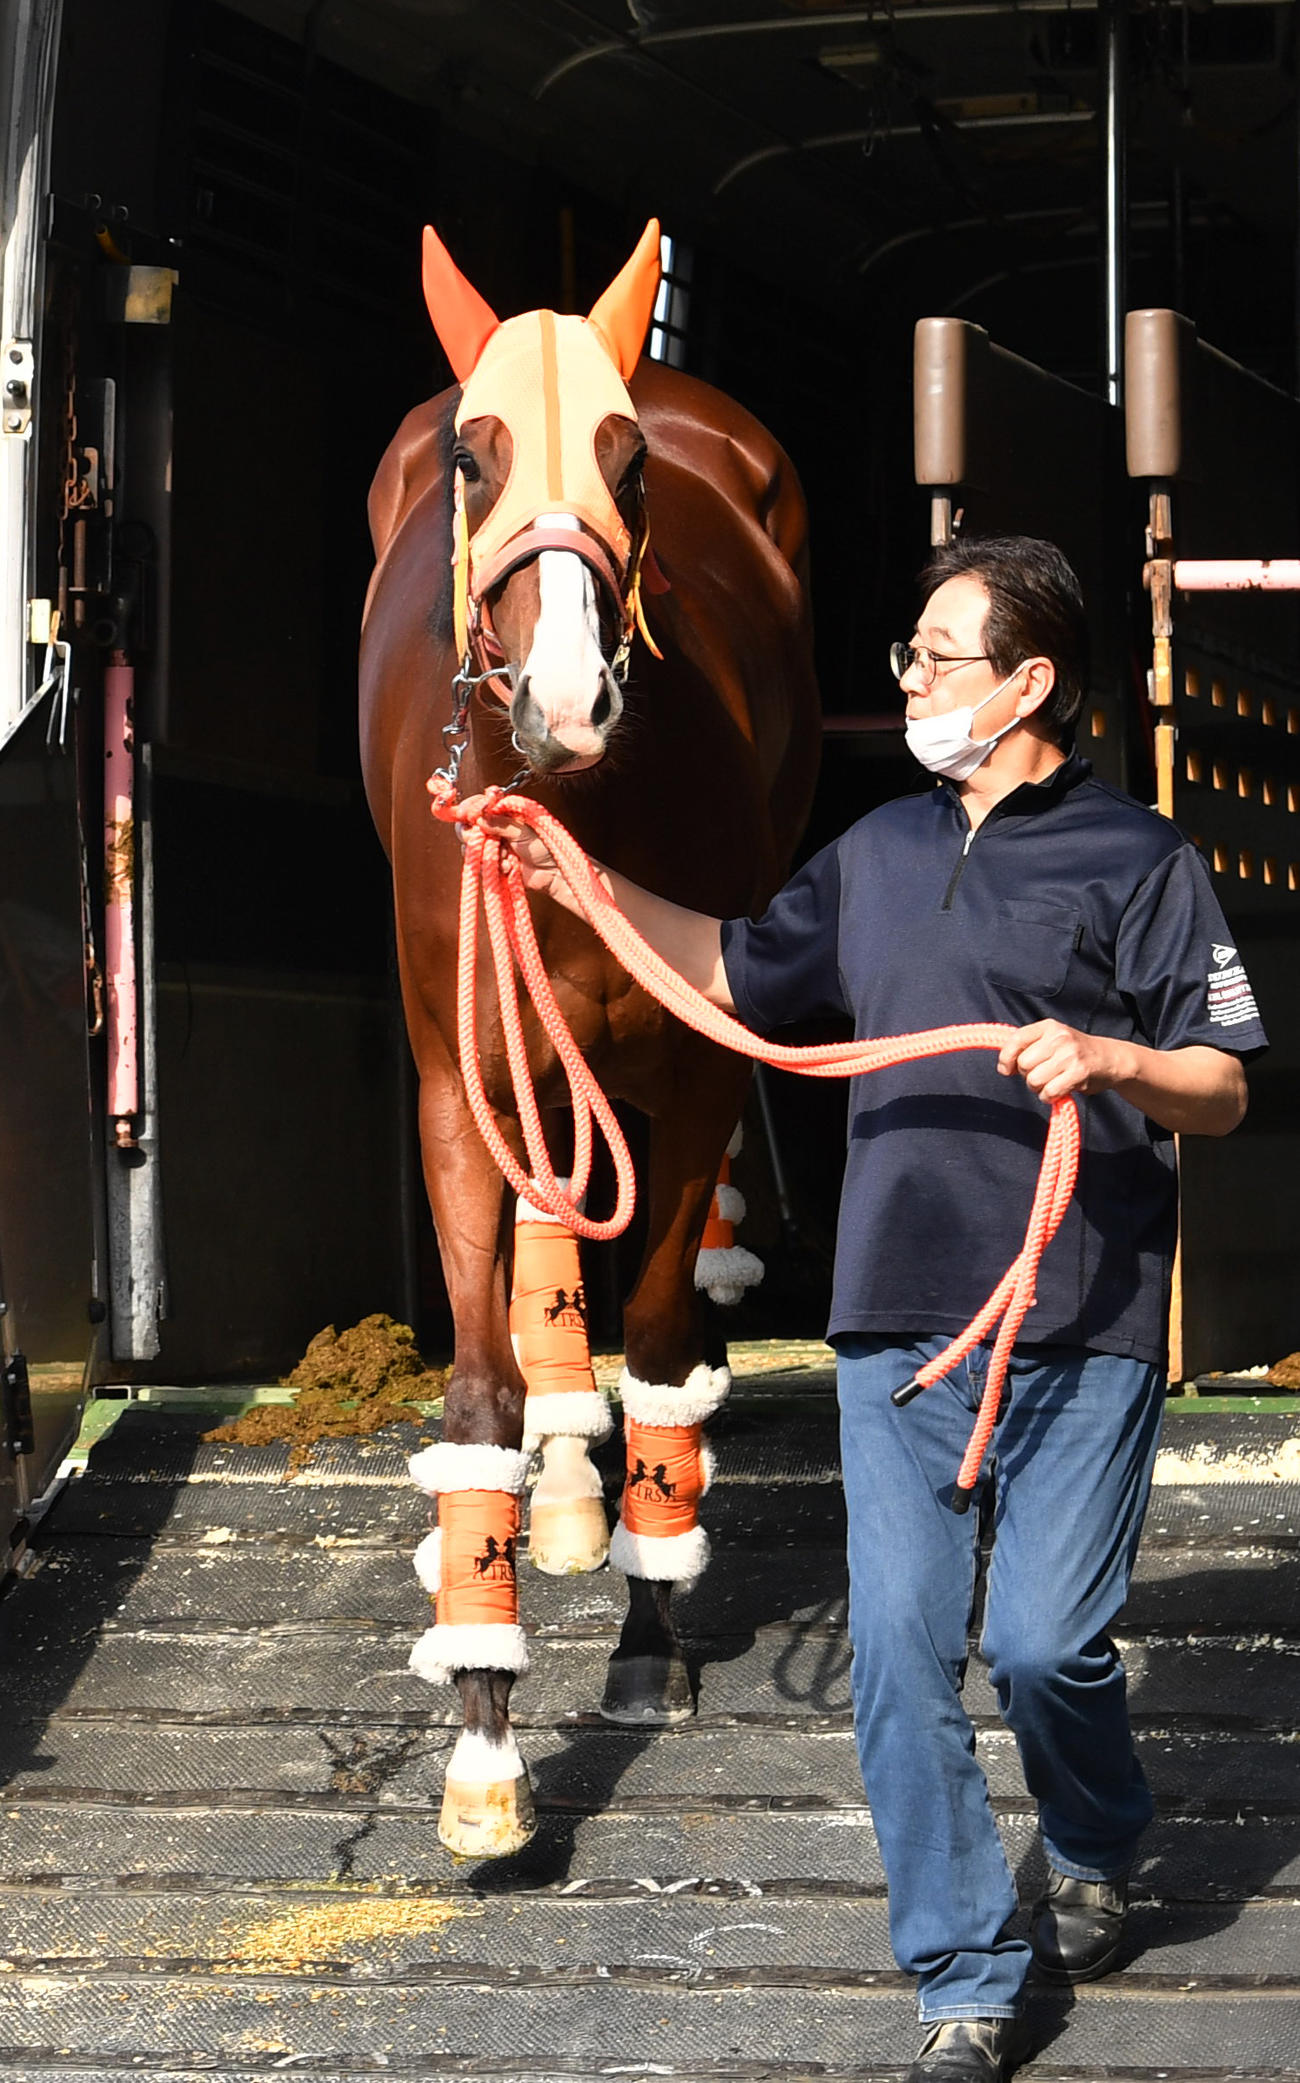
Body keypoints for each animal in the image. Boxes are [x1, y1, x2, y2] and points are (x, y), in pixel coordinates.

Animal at [359, 220, 821, 1858]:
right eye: (473, 454)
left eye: (627, 463)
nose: (569, 694)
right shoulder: (456, 1081)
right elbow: (481, 1381)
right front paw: (485, 1742)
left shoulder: (691, 1073)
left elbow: (668, 1342)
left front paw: (644, 1633)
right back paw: (542, 1498)